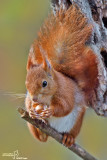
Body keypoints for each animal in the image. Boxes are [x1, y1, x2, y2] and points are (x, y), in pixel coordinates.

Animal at [24, 5, 98, 148]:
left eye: (44, 83)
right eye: (26, 84)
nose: (35, 99)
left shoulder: (65, 93)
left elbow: (65, 107)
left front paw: (50, 111)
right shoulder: (28, 97)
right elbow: (27, 103)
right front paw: (31, 110)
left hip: (76, 122)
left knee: (71, 131)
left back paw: (69, 137)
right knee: (41, 138)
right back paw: (41, 130)